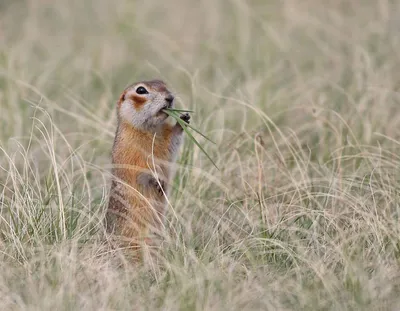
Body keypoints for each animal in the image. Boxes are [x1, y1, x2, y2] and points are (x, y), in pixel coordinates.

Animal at [104, 79, 189, 258]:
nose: (170, 97)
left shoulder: (165, 138)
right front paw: (156, 179)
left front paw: (183, 119)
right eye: (141, 90)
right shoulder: (132, 151)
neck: (152, 129)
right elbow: (141, 168)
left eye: (164, 83)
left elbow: (172, 142)